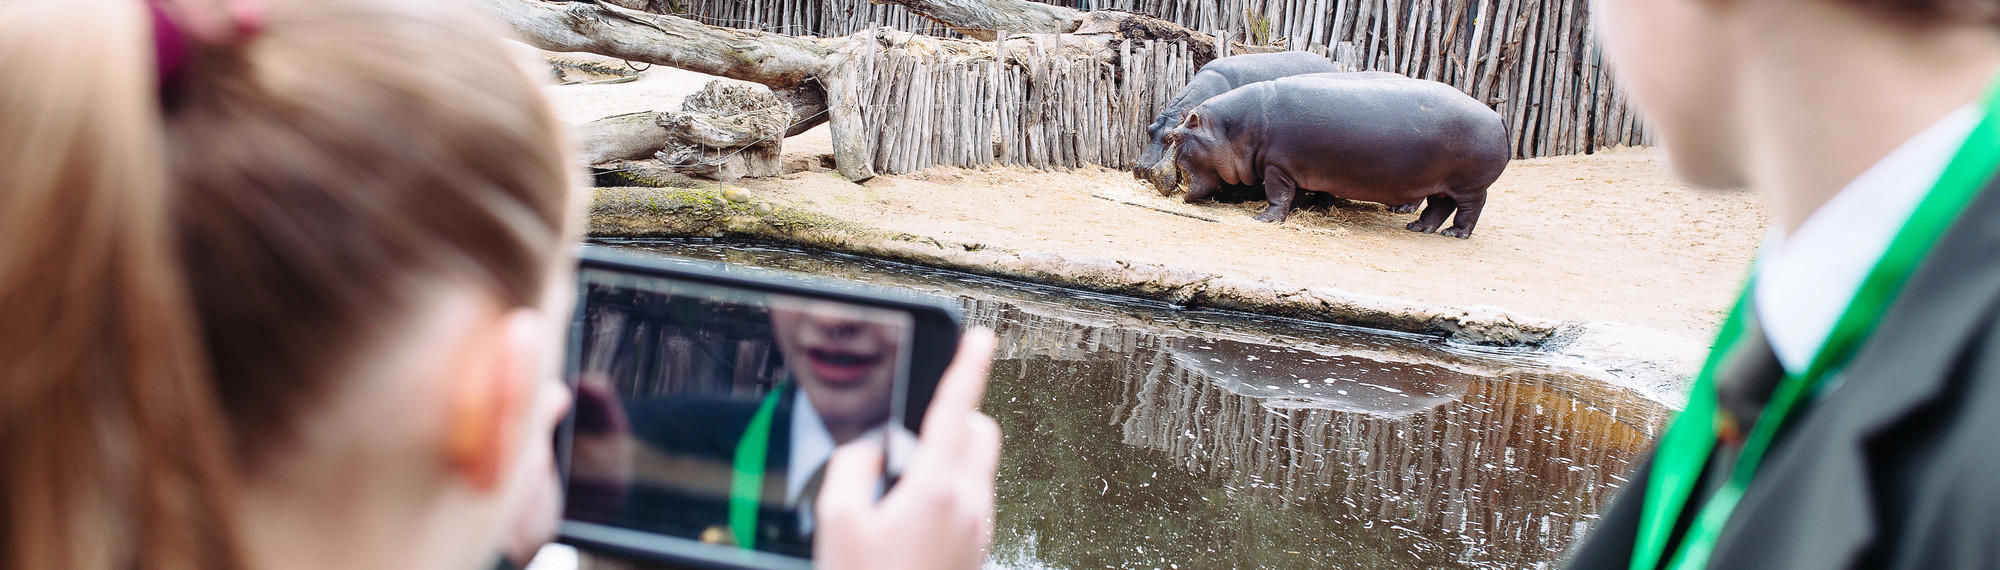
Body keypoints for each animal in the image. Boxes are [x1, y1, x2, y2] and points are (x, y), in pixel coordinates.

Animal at [1166, 74, 1510, 238]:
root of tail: (1498, 116)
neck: (1231, 128)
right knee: (1439, 206)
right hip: (1442, 184)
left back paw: (1456, 233)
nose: (1159, 176)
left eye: (1177, 136)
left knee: (1470, 209)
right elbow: (1295, 194)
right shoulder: (1293, 169)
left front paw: (1263, 218)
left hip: (1470, 186)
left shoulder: (1277, 166)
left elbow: (1278, 194)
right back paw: (1418, 228)